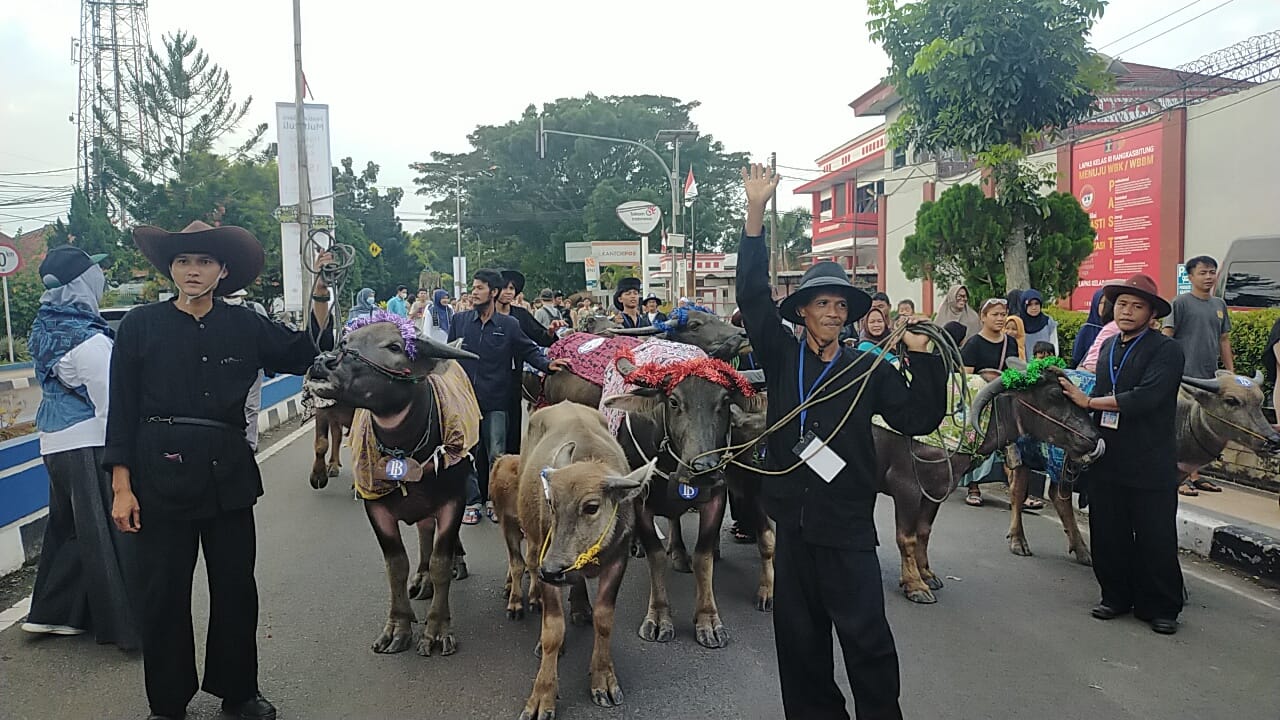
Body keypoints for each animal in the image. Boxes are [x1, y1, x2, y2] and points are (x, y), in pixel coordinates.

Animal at [307, 319, 478, 655]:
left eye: (395, 346)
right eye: (345, 341)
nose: (323, 361)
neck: (405, 447)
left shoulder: (453, 501)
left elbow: (441, 561)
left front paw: (437, 630)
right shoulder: (375, 508)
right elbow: (396, 565)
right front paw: (397, 628)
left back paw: (455, 564)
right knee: (425, 531)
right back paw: (422, 580)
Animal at [486, 399, 655, 717]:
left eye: (591, 507)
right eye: (551, 503)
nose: (551, 570)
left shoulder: (618, 562)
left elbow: (604, 619)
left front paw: (604, 680)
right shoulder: (546, 558)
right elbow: (552, 631)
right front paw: (542, 696)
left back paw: (578, 607)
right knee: (526, 563)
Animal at [604, 351, 762, 648]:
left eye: (724, 402)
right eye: (674, 401)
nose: (703, 468)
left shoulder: (716, 496)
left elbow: (703, 556)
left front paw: (708, 620)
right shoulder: (641, 500)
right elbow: (655, 556)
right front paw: (658, 617)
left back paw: (678, 551)